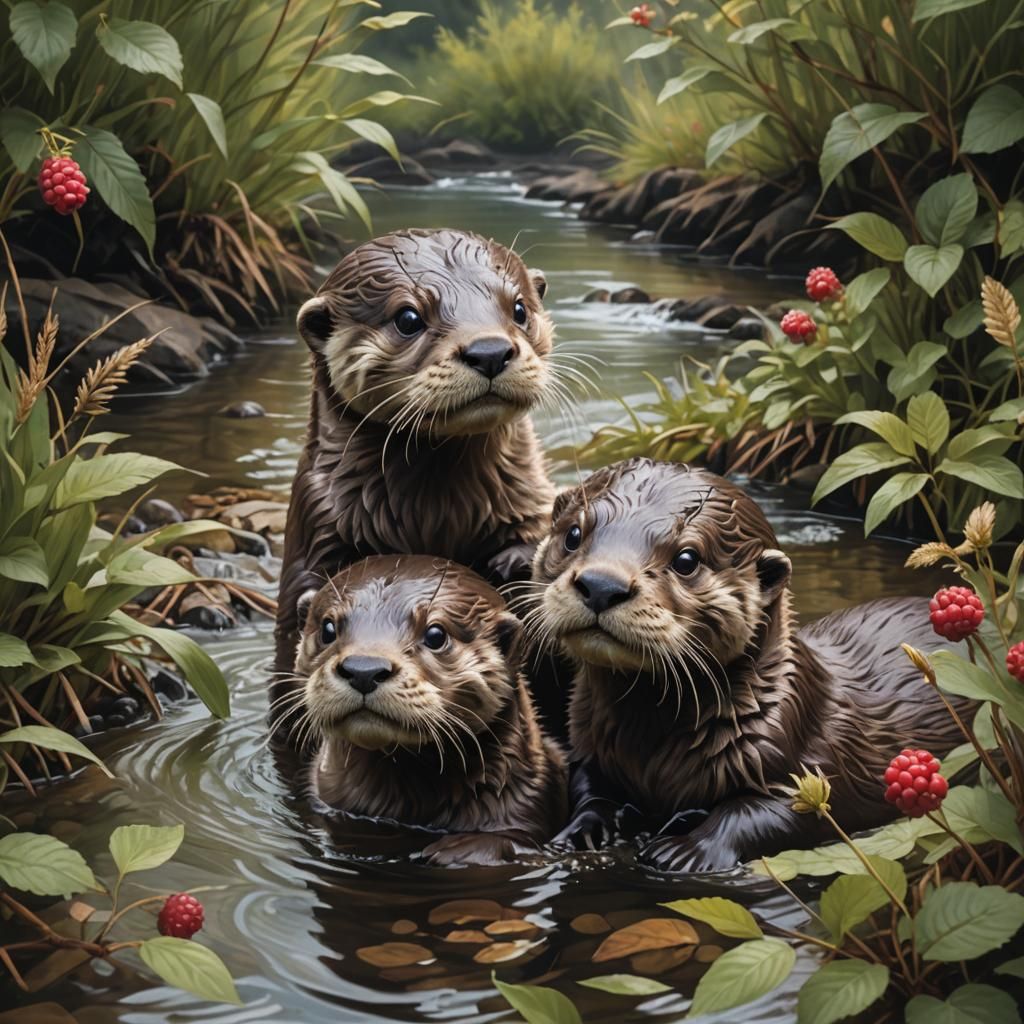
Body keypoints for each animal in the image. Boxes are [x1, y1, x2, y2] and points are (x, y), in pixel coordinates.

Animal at [273, 229, 557, 733]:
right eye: (408, 317)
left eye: (520, 308)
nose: (489, 350)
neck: (437, 518)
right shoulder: (316, 538)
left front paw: (514, 567)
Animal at [529, 457, 966, 872]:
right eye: (573, 535)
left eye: (687, 559)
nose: (602, 584)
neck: (647, 749)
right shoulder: (588, 748)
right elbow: (587, 788)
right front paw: (580, 830)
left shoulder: (805, 752)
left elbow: (778, 810)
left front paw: (686, 850)